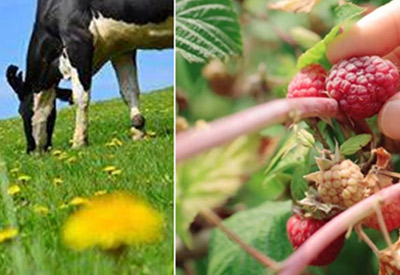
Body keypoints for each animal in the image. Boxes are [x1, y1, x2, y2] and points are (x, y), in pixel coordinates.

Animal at [5, 0, 173, 153]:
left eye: (21, 111)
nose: (30, 151)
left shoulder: (78, 40)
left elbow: (80, 96)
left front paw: (79, 142)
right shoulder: (122, 47)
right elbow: (129, 90)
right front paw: (138, 132)